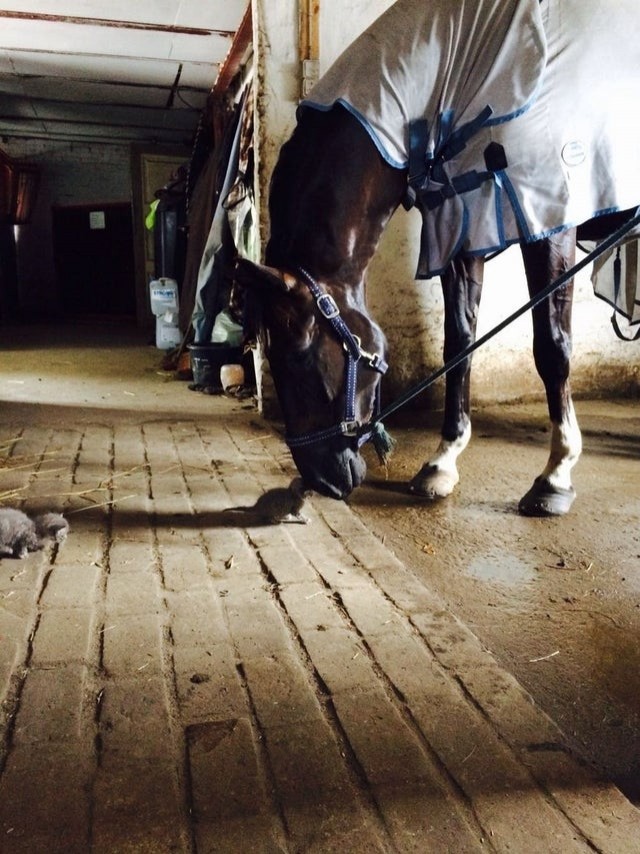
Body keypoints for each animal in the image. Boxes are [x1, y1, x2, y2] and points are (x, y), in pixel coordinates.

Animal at [234, 0, 640, 516]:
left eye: (300, 358)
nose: (321, 479)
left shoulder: (550, 220)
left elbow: (552, 348)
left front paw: (556, 474)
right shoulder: (462, 235)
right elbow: (458, 346)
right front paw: (442, 463)